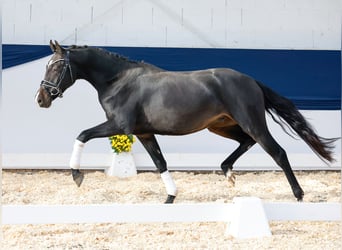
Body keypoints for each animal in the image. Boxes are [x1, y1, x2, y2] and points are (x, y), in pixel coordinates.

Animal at [35, 40, 336, 203]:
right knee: (246, 143)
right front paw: (170, 197)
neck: (118, 80)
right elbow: (160, 163)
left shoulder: (121, 126)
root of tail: (251, 80)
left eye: (57, 65)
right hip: (221, 126)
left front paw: (76, 176)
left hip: (251, 123)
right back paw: (228, 173)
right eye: (47, 64)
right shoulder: (144, 133)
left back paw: (298, 194)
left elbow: (82, 134)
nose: (41, 99)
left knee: (277, 152)